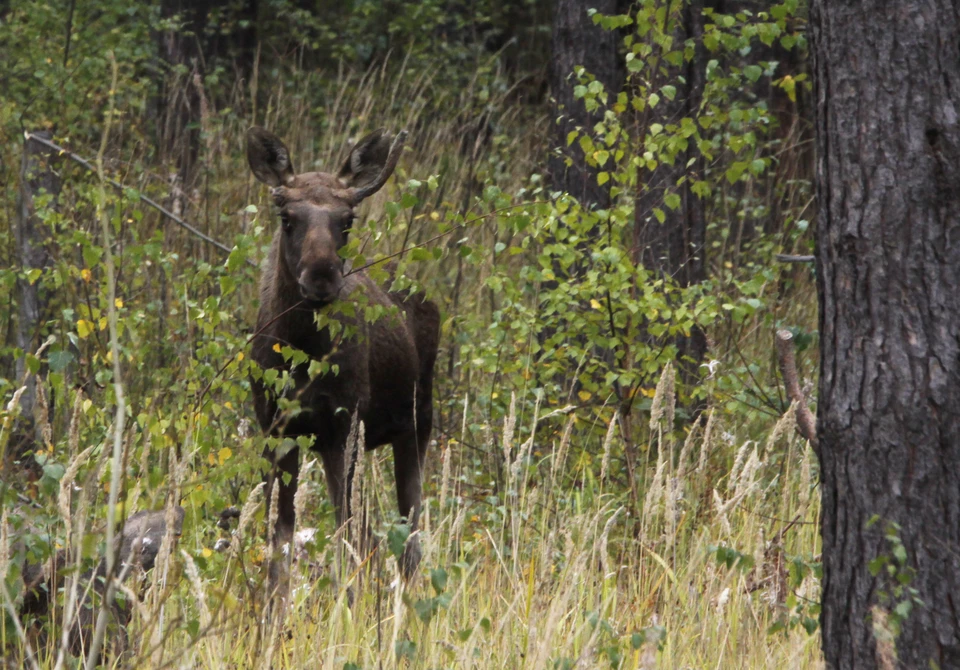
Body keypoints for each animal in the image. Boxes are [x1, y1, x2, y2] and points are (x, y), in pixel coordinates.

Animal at [248, 126, 442, 584]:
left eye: (347, 220)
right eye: (287, 218)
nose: (321, 276)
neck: (300, 352)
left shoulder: (344, 423)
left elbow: (350, 534)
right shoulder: (275, 428)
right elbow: (280, 535)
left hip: (418, 422)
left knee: (408, 534)